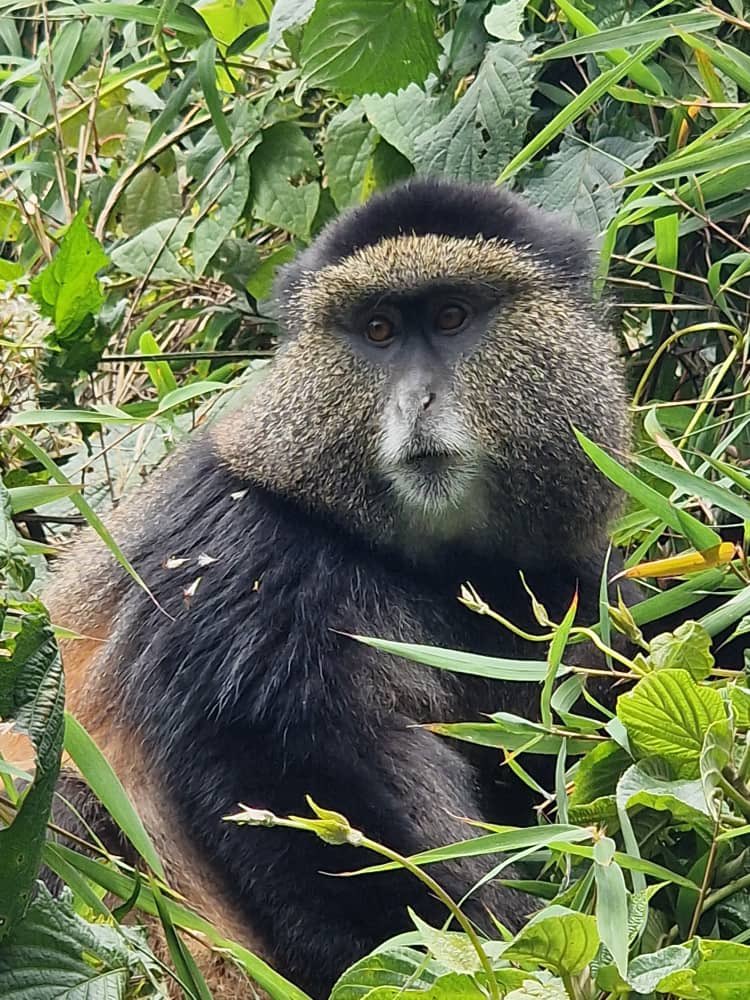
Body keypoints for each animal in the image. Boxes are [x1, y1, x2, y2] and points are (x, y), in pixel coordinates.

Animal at [10, 178, 632, 998]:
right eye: (377, 330)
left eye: (452, 316)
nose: (417, 401)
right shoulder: (242, 568)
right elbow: (292, 794)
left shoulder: (574, 590)